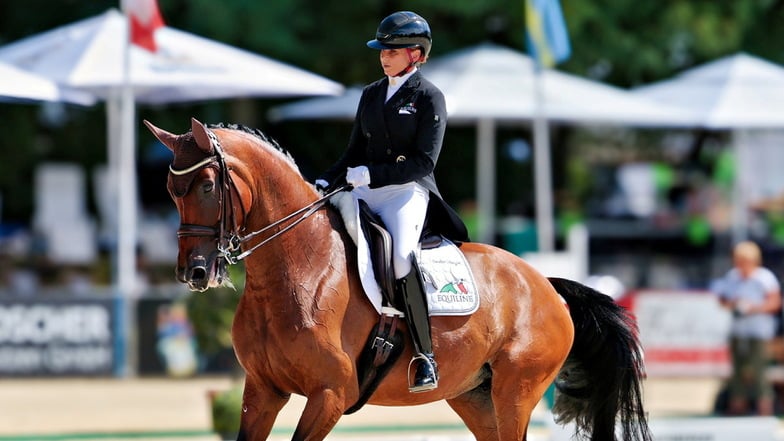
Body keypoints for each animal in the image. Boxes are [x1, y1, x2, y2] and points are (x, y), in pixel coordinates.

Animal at [142, 117, 648, 440]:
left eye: (208, 186)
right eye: (171, 190)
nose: (195, 272)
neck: (296, 270)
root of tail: (545, 284)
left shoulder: (329, 395)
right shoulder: (262, 390)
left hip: (516, 392)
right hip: (476, 397)